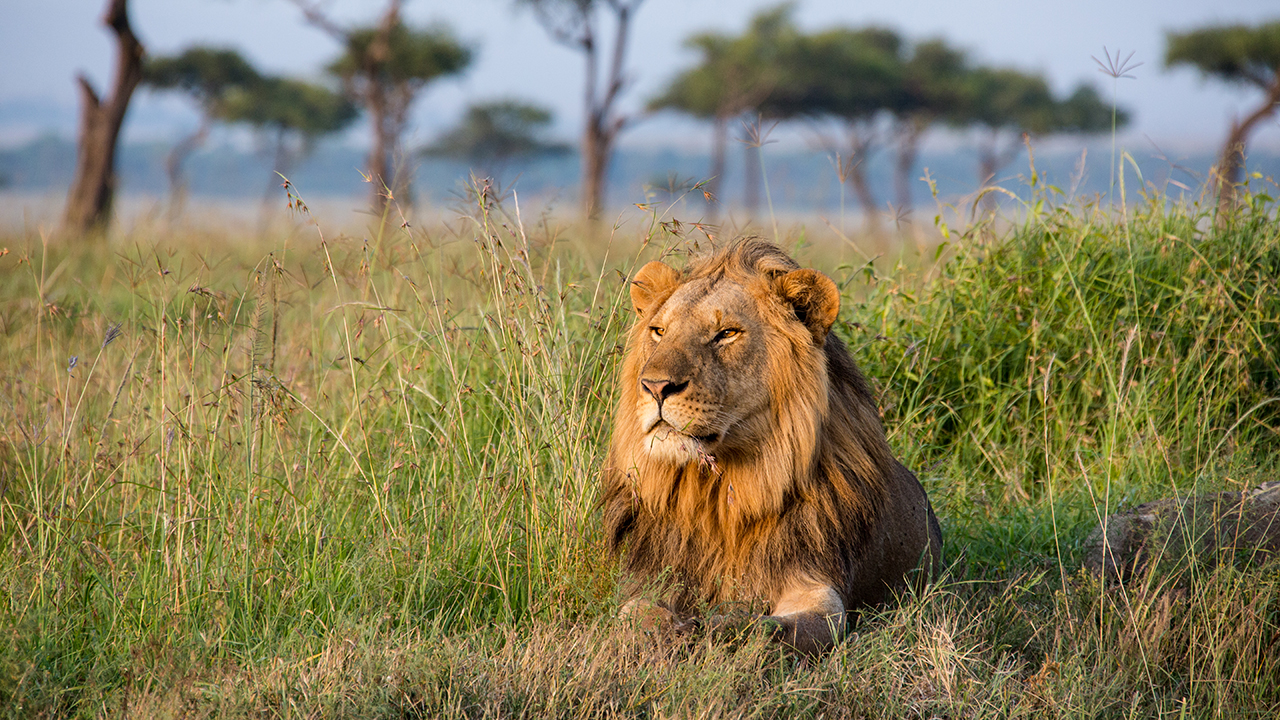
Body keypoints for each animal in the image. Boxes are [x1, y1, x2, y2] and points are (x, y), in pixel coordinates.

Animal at [599, 238, 942, 653]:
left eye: (727, 333)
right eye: (659, 331)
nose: (654, 386)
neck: (719, 496)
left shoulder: (818, 587)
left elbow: (774, 628)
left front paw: (716, 627)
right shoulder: (650, 580)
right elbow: (634, 618)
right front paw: (668, 635)